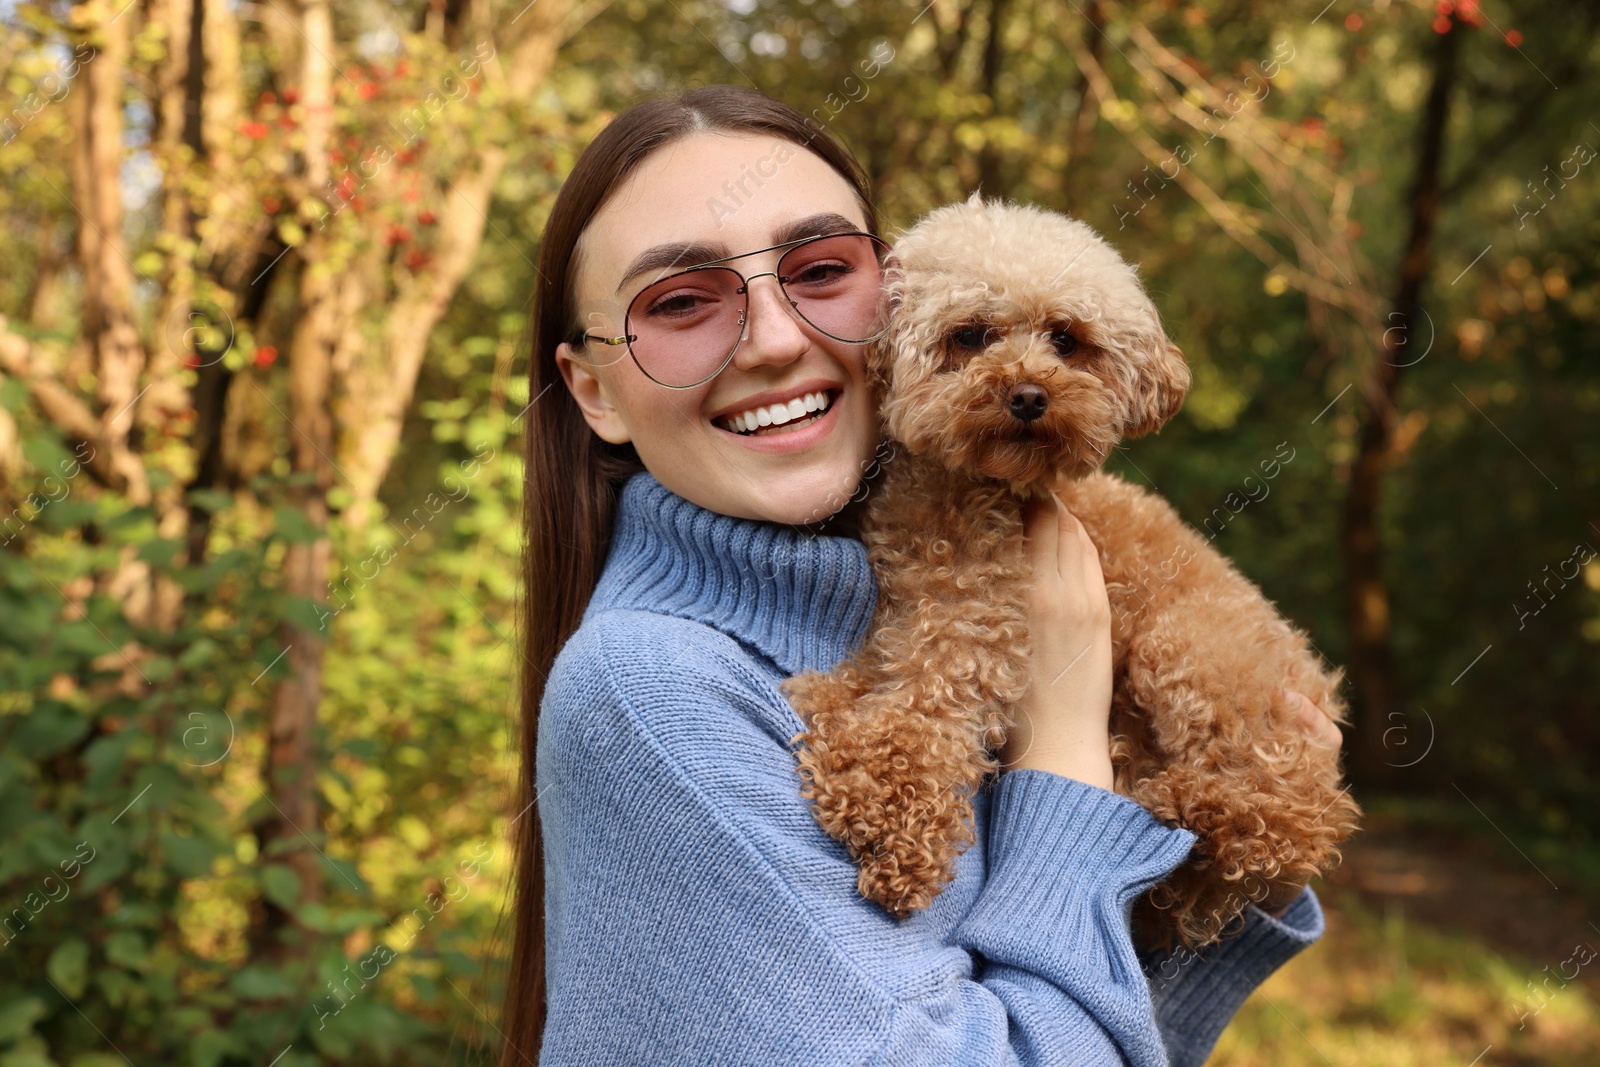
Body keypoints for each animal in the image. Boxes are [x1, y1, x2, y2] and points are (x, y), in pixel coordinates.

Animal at [780, 194, 1356, 953]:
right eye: (969, 335)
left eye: (1066, 339)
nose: (1028, 394)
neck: (966, 489)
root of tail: (1320, 688)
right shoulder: (917, 600)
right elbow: (877, 671)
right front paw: (831, 702)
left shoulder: (977, 623)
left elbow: (928, 706)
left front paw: (891, 815)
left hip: (1194, 654)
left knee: (1285, 815)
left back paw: (1175, 802)